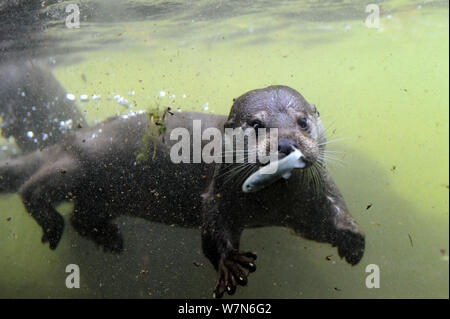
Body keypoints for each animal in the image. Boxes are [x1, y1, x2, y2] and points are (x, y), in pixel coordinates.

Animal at [0, 85, 366, 300]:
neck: (270, 205)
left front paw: (352, 238)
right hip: (75, 167)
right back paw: (52, 224)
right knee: (33, 187)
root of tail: (63, 141)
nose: (287, 144)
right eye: (257, 125)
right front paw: (230, 263)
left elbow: (323, 224)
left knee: (80, 215)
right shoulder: (218, 193)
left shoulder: (308, 203)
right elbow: (213, 231)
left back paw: (110, 239)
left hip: (104, 195)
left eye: (303, 122)